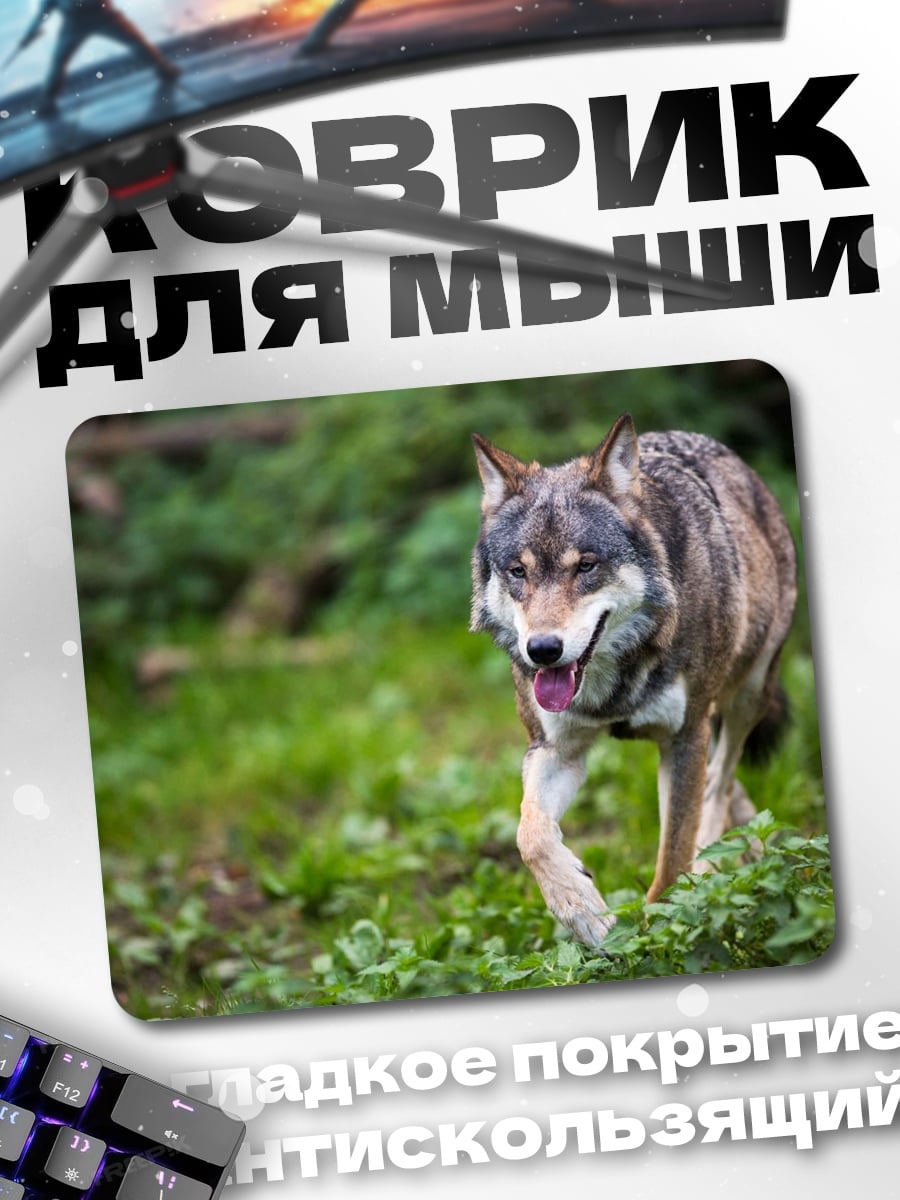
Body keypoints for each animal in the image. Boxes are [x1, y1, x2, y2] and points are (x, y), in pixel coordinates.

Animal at [470, 414, 797, 945]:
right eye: (518, 571)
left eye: (586, 565)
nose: (542, 650)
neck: (614, 685)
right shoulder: (555, 750)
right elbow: (529, 834)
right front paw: (581, 909)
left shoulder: (685, 738)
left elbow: (673, 857)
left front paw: (663, 930)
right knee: (727, 790)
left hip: (747, 694)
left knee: (720, 783)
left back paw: (716, 867)